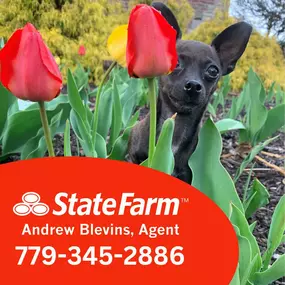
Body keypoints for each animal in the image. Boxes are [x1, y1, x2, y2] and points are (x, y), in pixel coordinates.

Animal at [126, 2, 251, 183]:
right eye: (176, 63)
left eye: (213, 71)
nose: (193, 85)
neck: (177, 125)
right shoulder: (134, 158)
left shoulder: (186, 175)